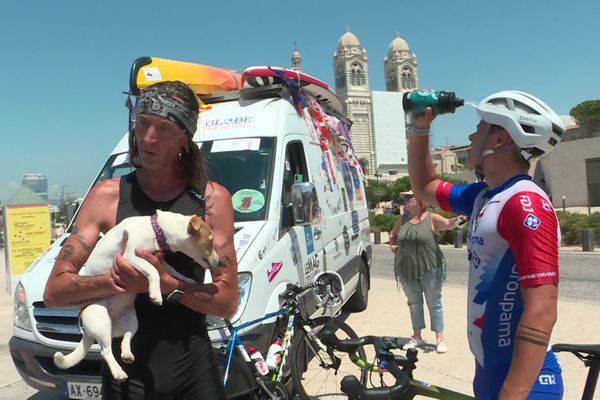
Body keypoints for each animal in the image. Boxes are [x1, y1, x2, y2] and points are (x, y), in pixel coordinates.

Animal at [53, 209, 220, 382]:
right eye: (211, 239)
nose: (220, 262)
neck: (156, 230)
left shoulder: (158, 261)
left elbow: (172, 271)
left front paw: (186, 280)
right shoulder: (130, 256)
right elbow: (153, 272)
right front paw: (156, 294)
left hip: (132, 321)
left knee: (125, 338)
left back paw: (127, 354)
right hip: (101, 321)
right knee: (106, 351)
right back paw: (118, 372)